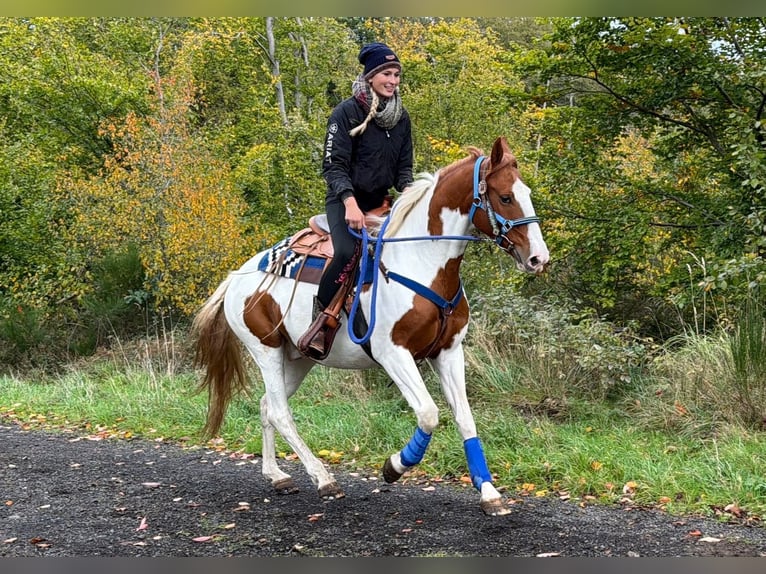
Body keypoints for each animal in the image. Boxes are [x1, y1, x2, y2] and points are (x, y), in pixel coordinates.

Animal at [191, 136, 550, 516]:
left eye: (525, 192)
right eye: (506, 197)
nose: (538, 258)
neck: (422, 262)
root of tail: (236, 277)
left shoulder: (449, 352)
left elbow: (465, 417)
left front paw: (489, 493)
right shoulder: (393, 353)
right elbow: (428, 413)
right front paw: (394, 466)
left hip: (298, 358)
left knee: (266, 406)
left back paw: (277, 475)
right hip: (265, 350)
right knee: (280, 412)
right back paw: (323, 479)